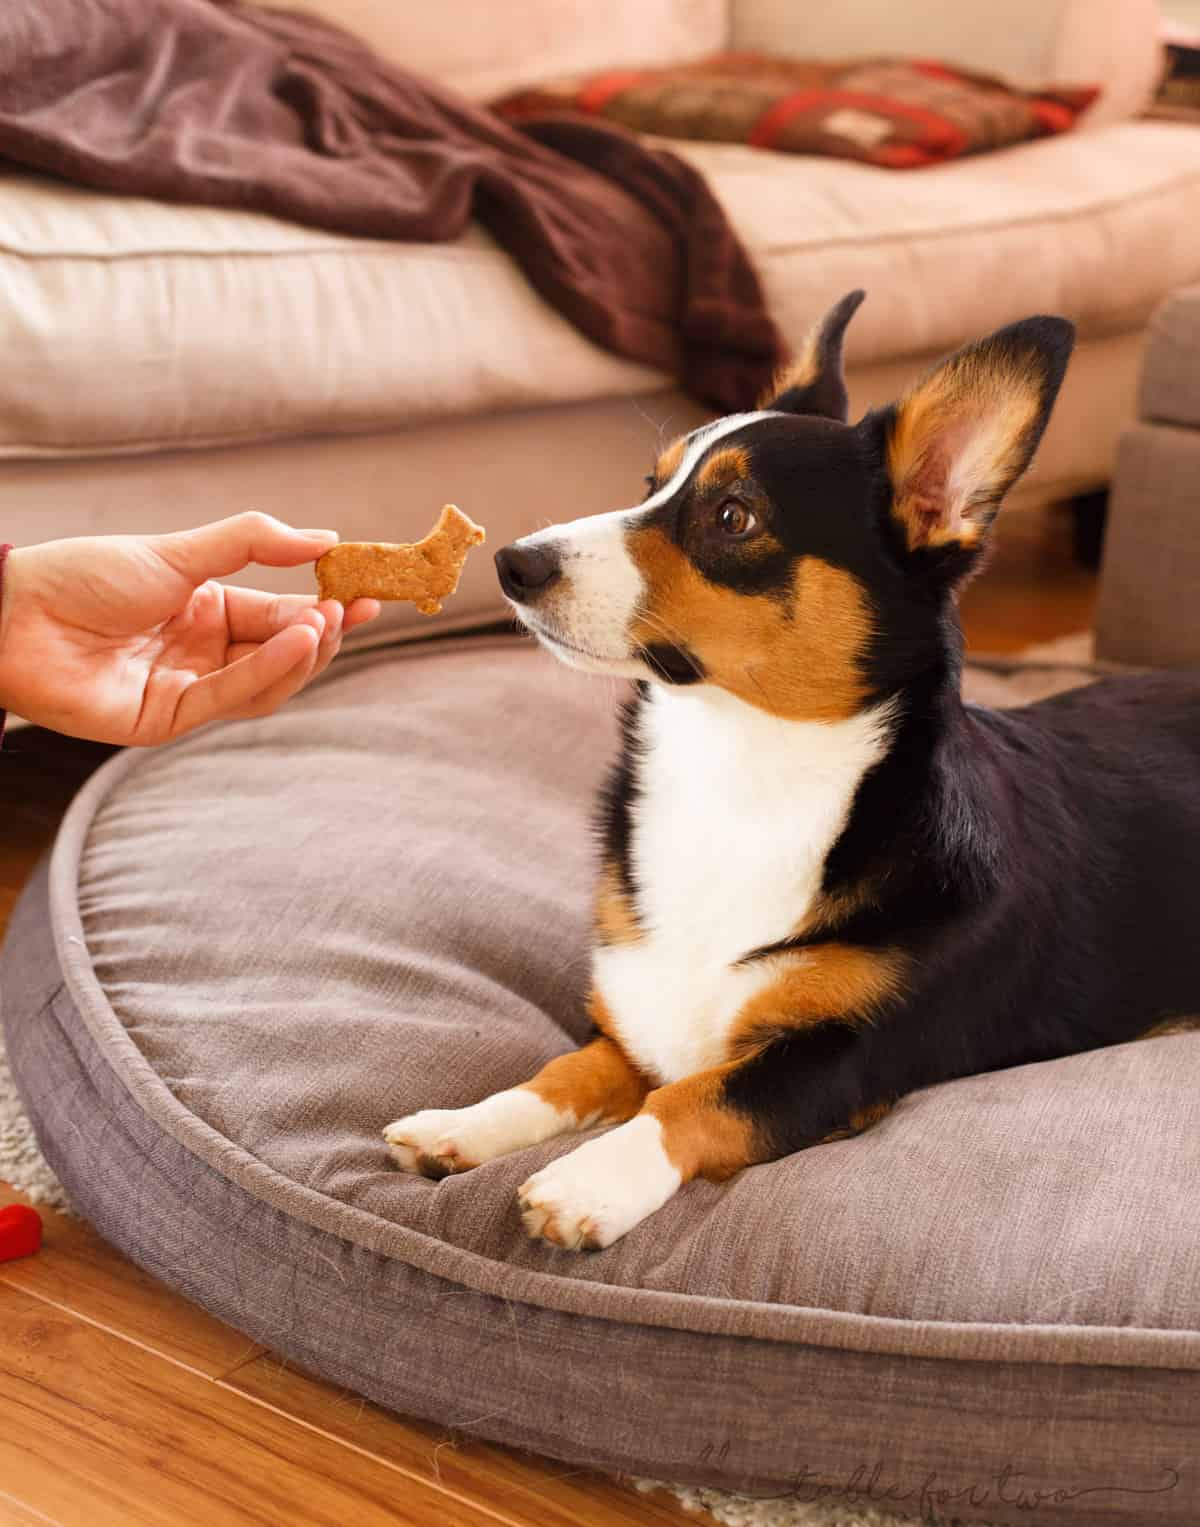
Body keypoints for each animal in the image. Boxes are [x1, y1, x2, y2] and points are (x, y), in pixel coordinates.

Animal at [383, 291, 1196, 1246]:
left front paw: (591, 1179)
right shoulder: (632, 1026)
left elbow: (697, 1096)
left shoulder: (839, 1060)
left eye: (734, 514)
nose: (512, 561)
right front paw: (464, 1124)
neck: (741, 767)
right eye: (649, 484)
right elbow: (567, 1071)